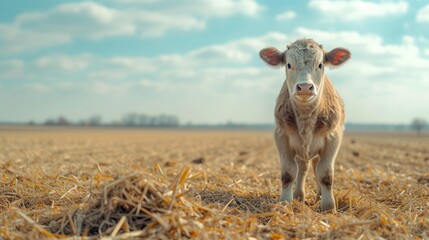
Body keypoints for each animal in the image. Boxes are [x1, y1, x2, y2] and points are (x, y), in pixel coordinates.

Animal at [260, 38, 350, 211]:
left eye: (320, 64)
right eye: (289, 64)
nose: (305, 87)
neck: (306, 118)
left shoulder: (333, 137)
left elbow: (325, 173)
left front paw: (329, 206)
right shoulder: (281, 135)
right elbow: (288, 172)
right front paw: (285, 202)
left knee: (315, 166)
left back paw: (319, 194)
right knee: (303, 168)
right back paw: (299, 196)